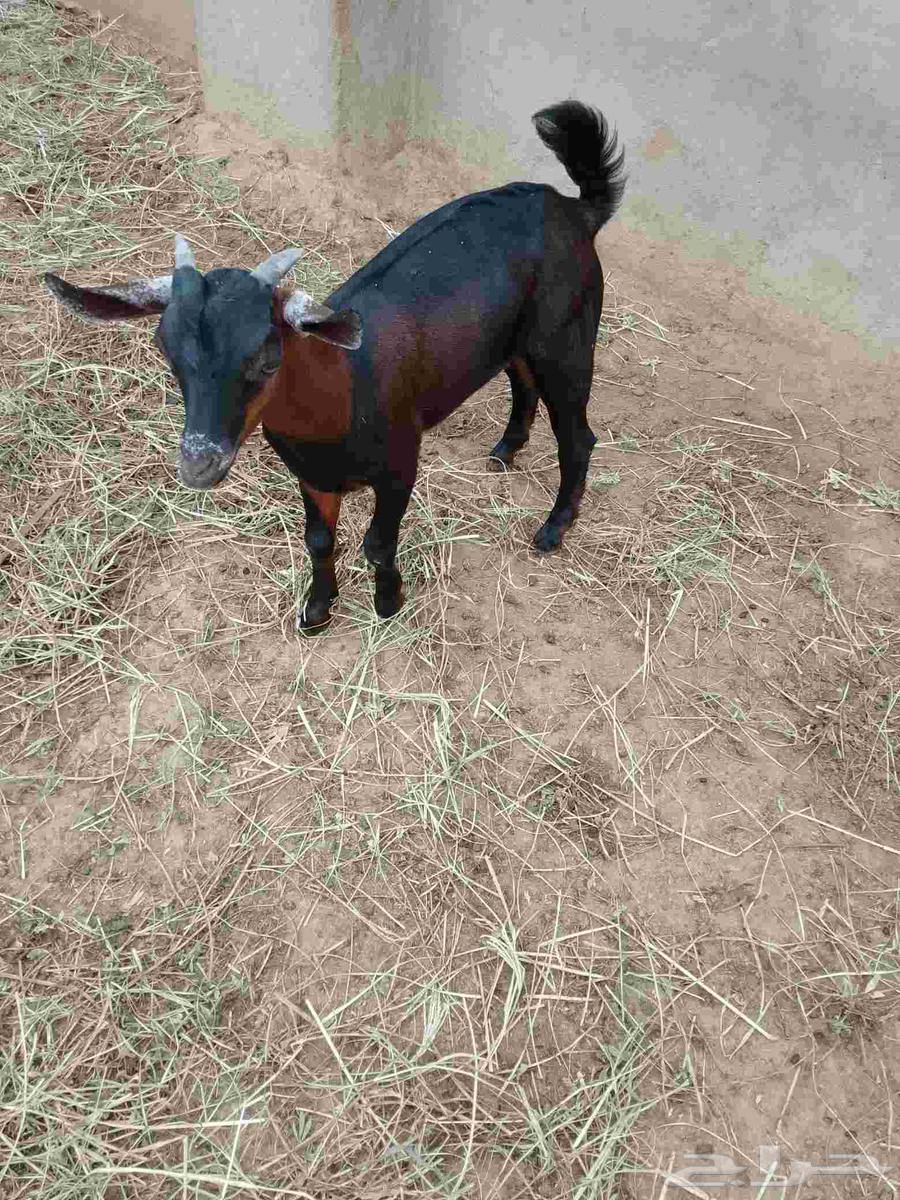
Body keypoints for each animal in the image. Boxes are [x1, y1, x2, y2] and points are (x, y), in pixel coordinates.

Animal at [44, 100, 625, 632]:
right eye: (166, 352)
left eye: (266, 356)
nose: (198, 466)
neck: (342, 392)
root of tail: (576, 211)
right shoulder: (313, 476)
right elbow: (319, 540)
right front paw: (317, 610)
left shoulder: (401, 465)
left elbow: (376, 543)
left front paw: (388, 603)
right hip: (519, 340)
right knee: (522, 383)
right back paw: (506, 451)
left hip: (568, 339)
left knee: (578, 436)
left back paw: (553, 529)